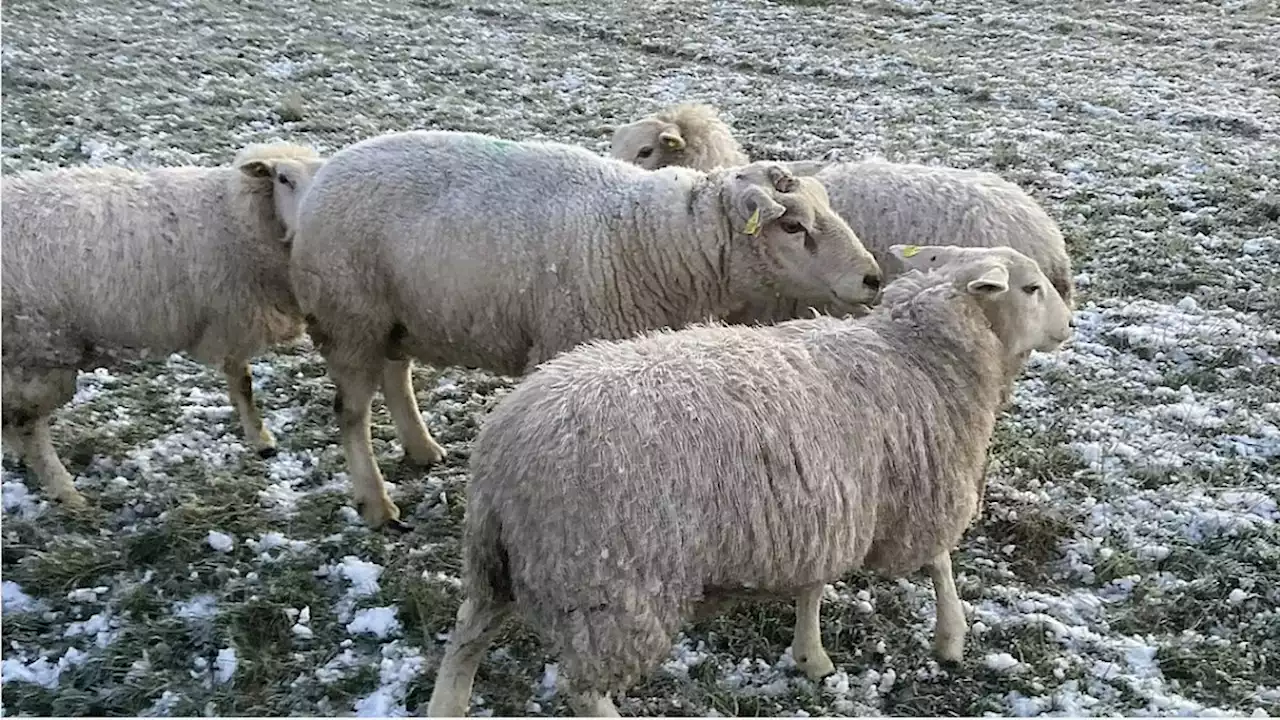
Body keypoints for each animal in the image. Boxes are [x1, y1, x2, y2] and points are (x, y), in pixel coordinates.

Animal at [0, 142, 327, 507]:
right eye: (283, 179)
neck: (234, 213)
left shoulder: (227, 318)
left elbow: (240, 380)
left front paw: (260, 439)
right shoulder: (231, 313)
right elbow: (243, 383)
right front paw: (262, 439)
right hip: (39, 349)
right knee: (28, 425)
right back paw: (67, 493)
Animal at [285, 127, 885, 527]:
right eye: (793, 225)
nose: (873, 277)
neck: (658, 241)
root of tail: (326, 174)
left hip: (396, 313)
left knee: (397, 374)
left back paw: (421, 447)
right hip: (348, 314)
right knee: (352, 412)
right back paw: (376, 503)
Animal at [424, 243, 1075, 712]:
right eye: (1031, 287)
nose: (1069, 324)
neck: (914, 352)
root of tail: (504, 450)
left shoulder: (826, 499)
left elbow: (813, 585)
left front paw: (811, 656)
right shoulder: (922, 491)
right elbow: (940, 562)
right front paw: (951, 638)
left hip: (498, 560)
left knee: (466, 638)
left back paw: (446, 706)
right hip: (606, 583)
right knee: (585, 690)